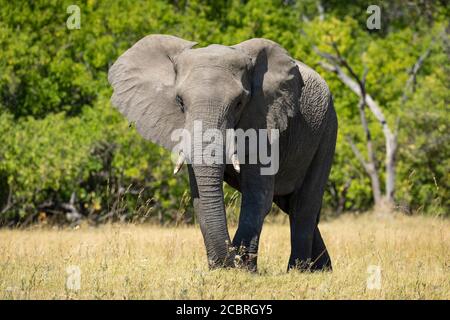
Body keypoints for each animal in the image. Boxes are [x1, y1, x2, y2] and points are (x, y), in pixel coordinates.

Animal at [107, 35, 336, 272]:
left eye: (239, 103)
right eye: (180, 101)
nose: (229, 259)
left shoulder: (264, 118)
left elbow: (258, 198)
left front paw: (241, 269)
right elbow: (199, 198)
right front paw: (222, 267)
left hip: (327, 130)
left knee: (303, 206)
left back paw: (300, 270)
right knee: (290, 205)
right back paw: (322, 269)